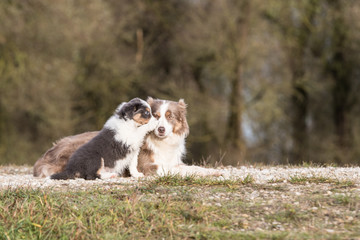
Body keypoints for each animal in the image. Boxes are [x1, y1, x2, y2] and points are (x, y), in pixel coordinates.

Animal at [33, 97, 219, 178]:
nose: (160, 129)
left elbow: (195, 168)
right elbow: (168, 170)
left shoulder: (174, 161)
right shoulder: (147, 165)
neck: (161, 142)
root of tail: (48, 154)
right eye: (156, 115)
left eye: (170, 116)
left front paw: (215, 172)